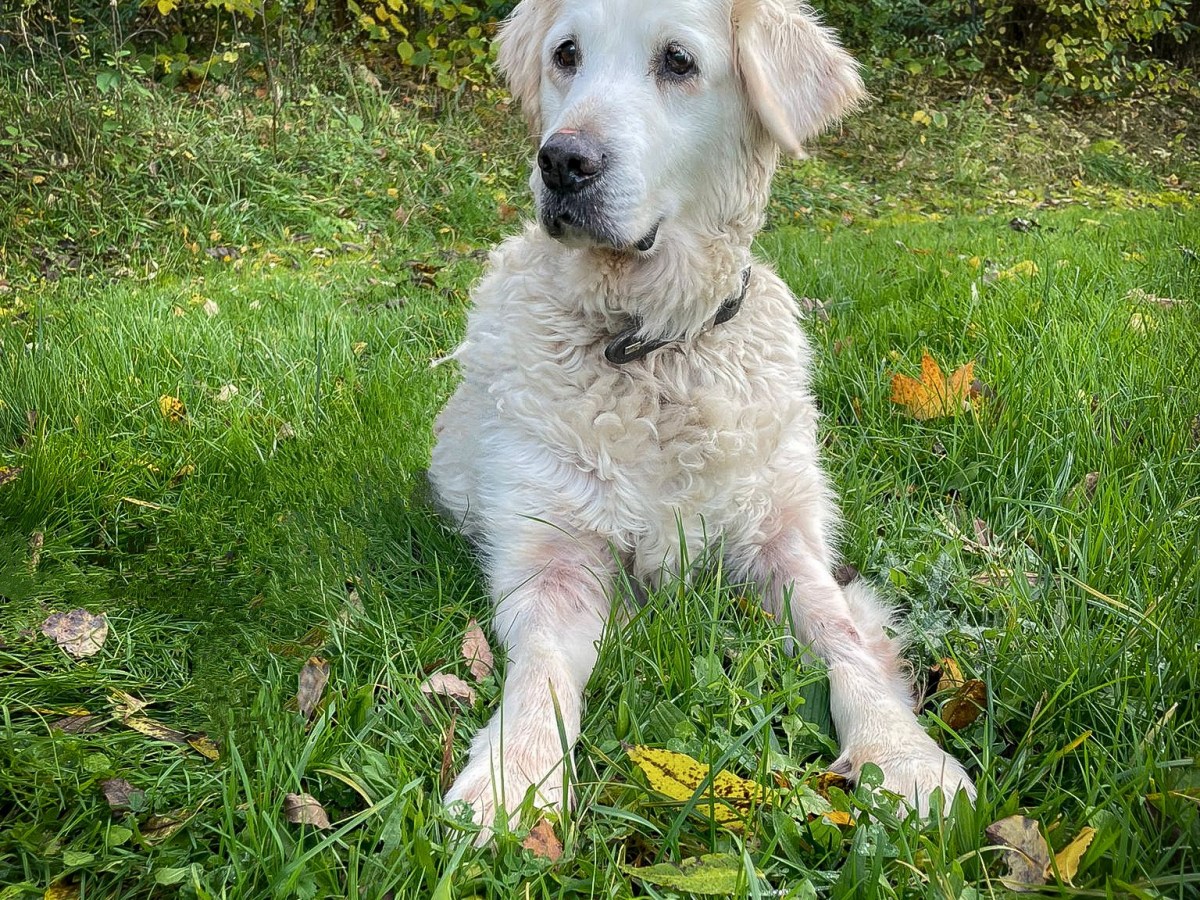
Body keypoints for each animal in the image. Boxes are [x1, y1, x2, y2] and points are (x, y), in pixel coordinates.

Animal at [432, 0, 974, 835]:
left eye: (678, 62)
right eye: (566, 55)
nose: (563, 162)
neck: (651, 345)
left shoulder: (784, 537)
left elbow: (845, 636)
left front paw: (905, 758)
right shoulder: (553, 554)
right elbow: (543, 672)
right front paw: (511, 781)